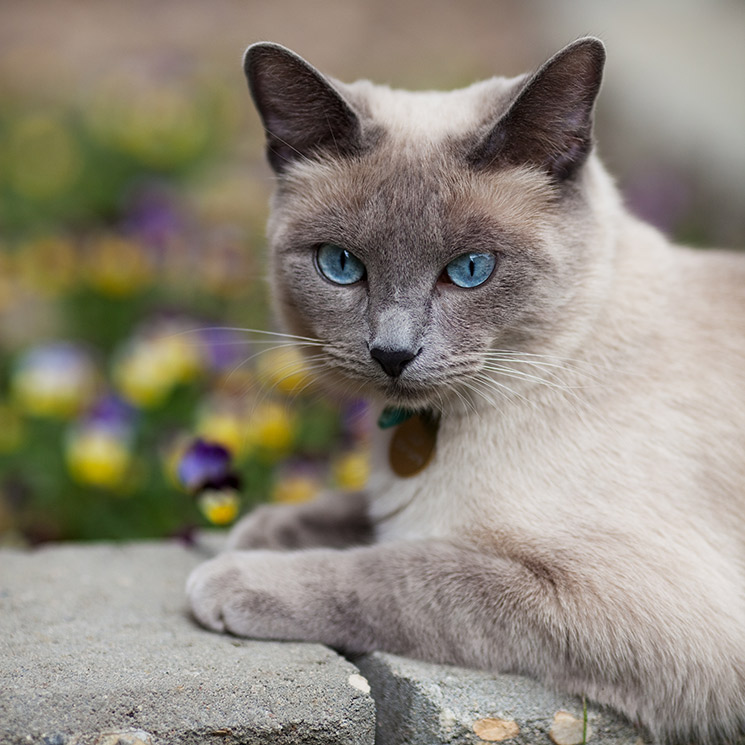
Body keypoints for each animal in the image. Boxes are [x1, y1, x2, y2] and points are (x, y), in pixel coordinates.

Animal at [187, 37, 744, 740]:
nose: (392, 354)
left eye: (471, 270)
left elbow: (404, 573)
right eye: (340, 265)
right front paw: (261, 528)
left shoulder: (617, 602)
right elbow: (361, 514)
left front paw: (231, 573)